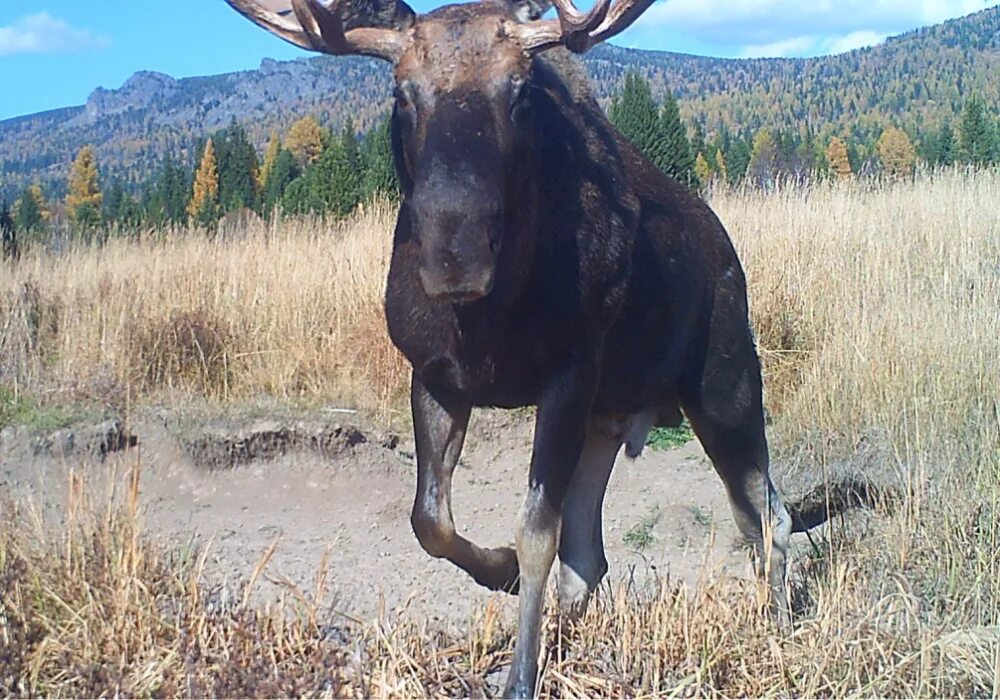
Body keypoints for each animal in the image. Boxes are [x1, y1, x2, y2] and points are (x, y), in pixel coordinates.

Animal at [229, 1, 812, 696]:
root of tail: (725, 247)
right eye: (402, 93)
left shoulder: (569, 374)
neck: (489, 321)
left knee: (767, 515)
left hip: (725, 384)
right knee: (594, 552)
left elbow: (537, 533)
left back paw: (777, 627)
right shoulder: (435, 376)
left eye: (520, 92)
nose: (455, 251)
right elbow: (430, 520)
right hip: (609, 419)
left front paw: (520, 675)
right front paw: (499, 571)